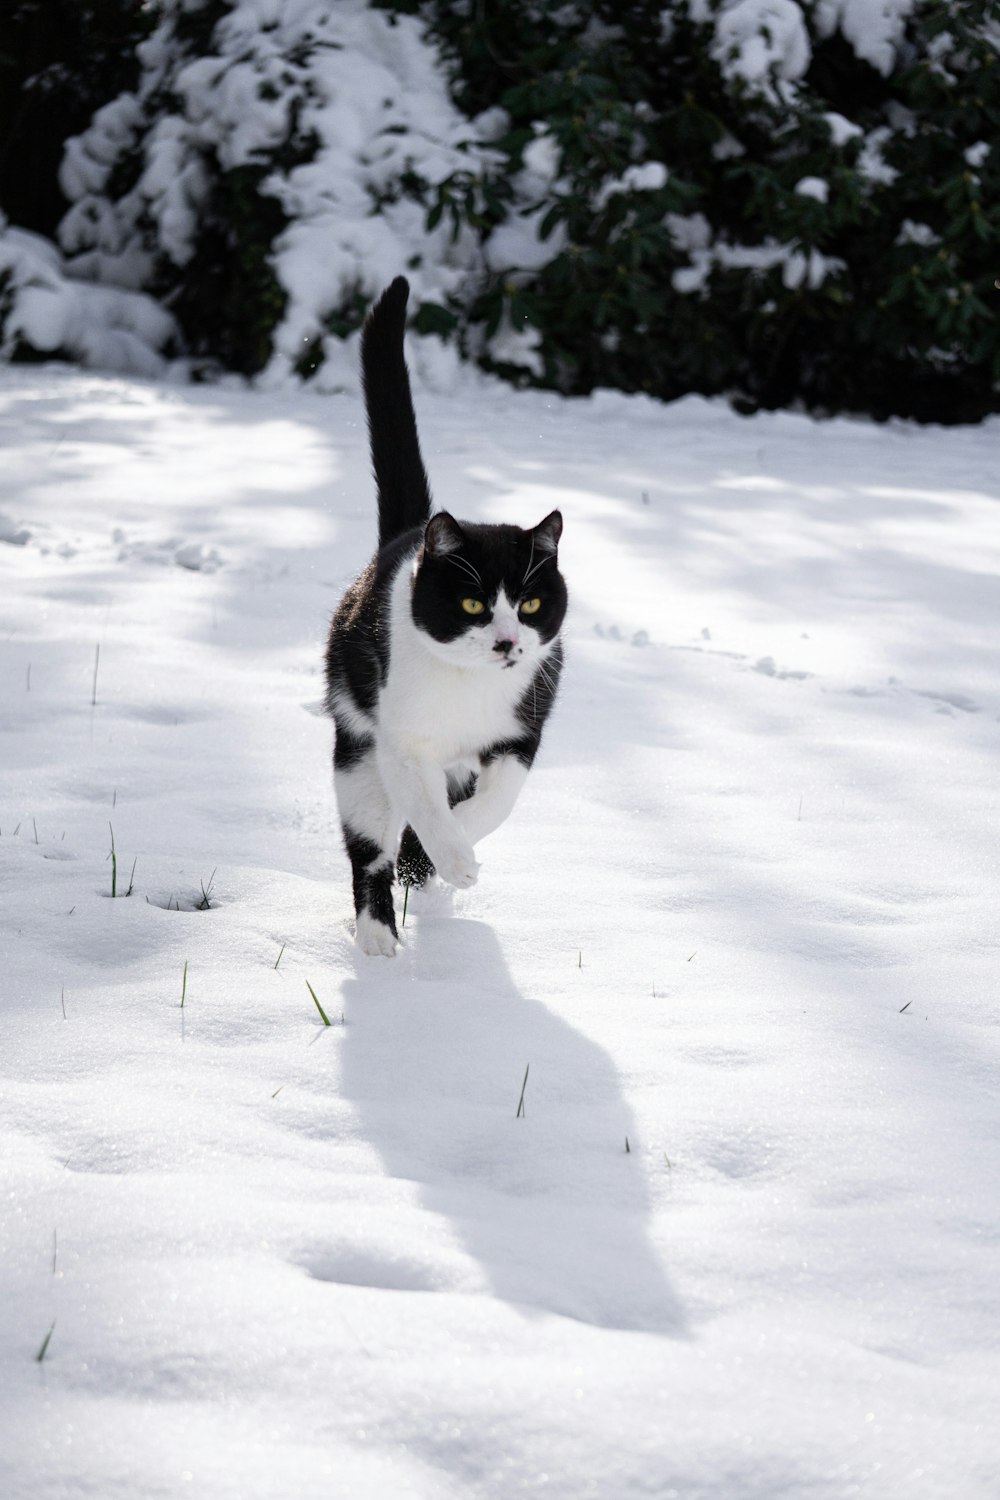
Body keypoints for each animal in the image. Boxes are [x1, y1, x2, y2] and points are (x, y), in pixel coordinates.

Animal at [325, 280, 566, 954]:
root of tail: (406, 535)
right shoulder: (401, 740)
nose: (508, 642)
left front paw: (451, 858)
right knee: (367, 848)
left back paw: (418, 876)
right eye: (473, 603)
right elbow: (426, 807)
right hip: (356, 744)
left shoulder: (522, 727)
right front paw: (454, 859)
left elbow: (497, 802)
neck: (469, 688)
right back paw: (379, 938)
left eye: (530, 604)